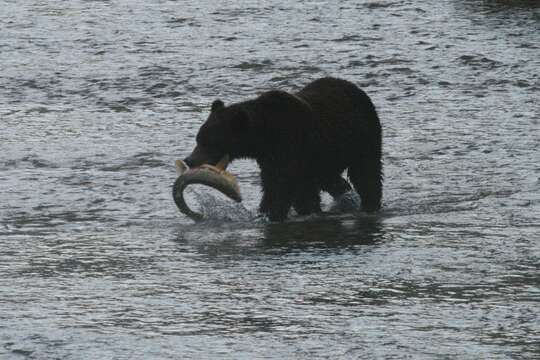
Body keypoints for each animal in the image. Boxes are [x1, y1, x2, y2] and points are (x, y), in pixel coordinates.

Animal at [184, 77, 382, 221]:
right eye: (198, 138)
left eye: (209, 142)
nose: (190, 160)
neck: (265, 136)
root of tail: (355, 88)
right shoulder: (269, 158)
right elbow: (273, 184)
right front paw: (265, 211)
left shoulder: (291, 144)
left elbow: (284, 185)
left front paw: (275, 213)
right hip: (326, 155)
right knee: (330, 179)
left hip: (362, 139)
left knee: (367, 173)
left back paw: (369, 204)